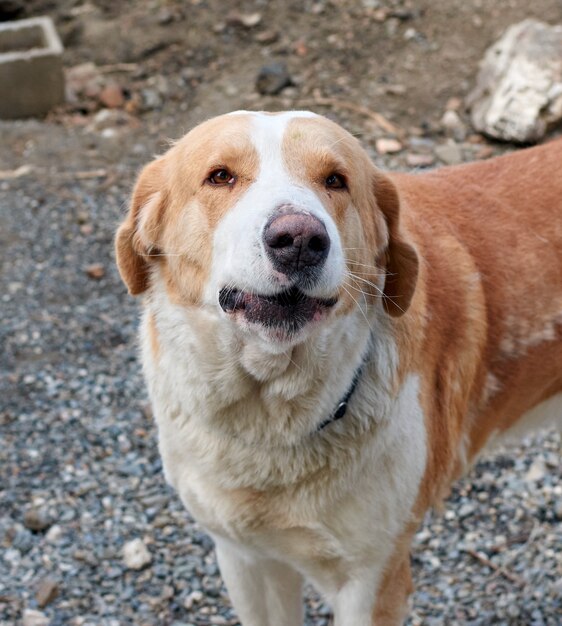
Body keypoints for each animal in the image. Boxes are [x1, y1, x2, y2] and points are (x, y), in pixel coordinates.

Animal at [115, 112, 560, 624]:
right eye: (220, 176)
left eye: (335, 180)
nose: (299, 239)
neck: (270, 421)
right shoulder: (245, 560)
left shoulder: (372, 581)